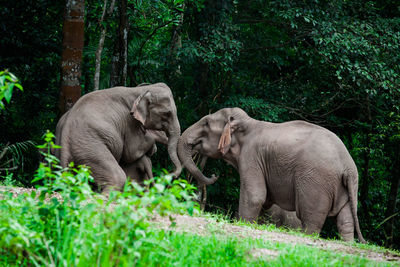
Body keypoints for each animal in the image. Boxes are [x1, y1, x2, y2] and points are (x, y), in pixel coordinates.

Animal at [178, 108, 366, 244]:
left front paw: (244, 224)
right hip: (346, 186)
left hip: (316, 182)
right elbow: (264, 200)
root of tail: (348, 167)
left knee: (311, 219)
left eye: (206, 123)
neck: (248, 123)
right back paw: (348, 243)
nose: (214, 174)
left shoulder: (251, 156)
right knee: (345, 220)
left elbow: (255, 196)